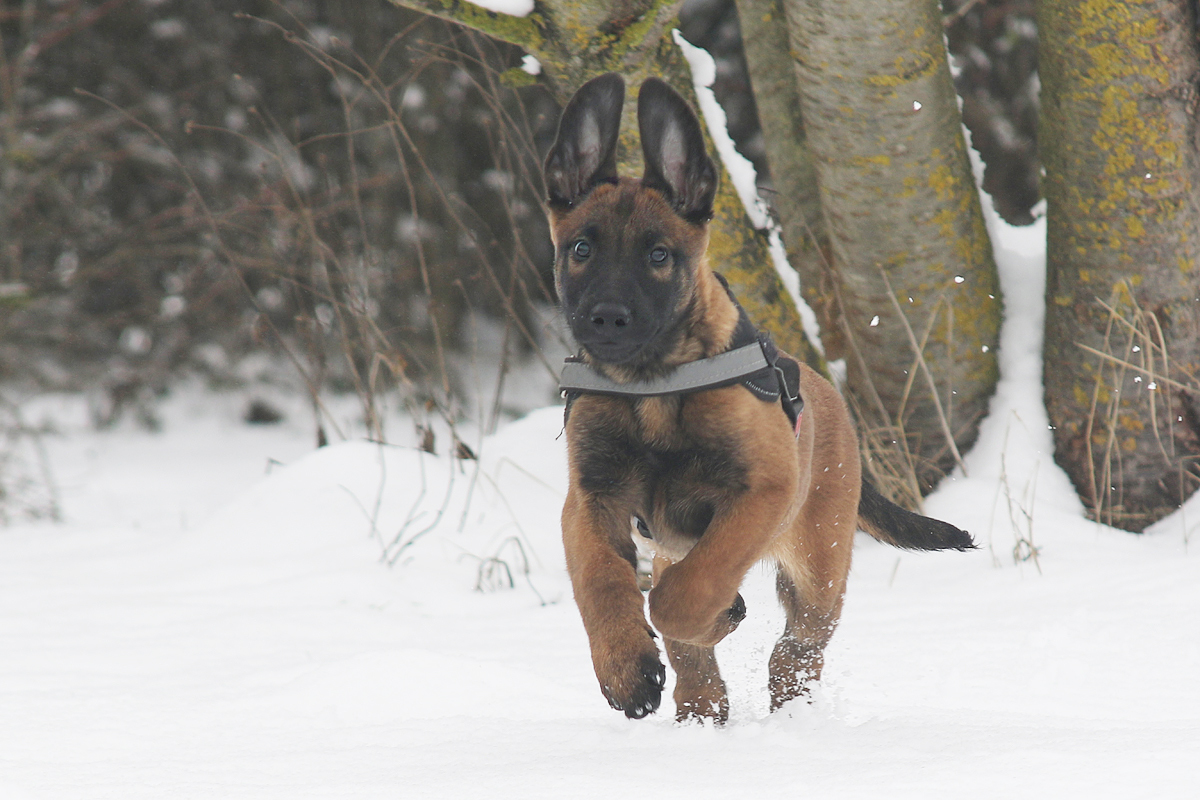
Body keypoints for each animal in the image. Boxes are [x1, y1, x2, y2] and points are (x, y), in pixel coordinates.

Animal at [544, 73, 974, 723]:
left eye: (659, 255)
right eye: (581, 250)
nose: (607, 319)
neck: (653, 386)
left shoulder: (760, 492)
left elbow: (687, 592)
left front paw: (710, 616)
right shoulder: (591, 498)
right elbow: (601, 581)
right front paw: (626, 670)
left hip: (819, 566)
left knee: (797, 646)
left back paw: (787, 701)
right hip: (679, 546)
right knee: (699, 648)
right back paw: (700, 706)